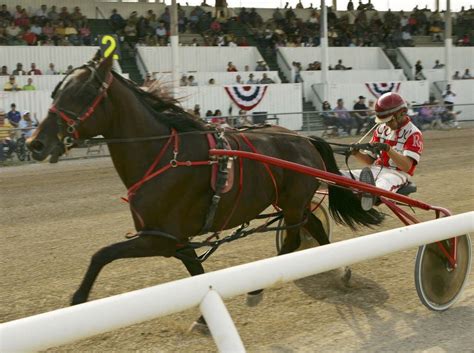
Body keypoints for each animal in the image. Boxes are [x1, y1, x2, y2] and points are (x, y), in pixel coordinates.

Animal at [26, 54, 386, 324]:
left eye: (79, 95)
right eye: (55, 92)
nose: (35, 143)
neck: (164, 157)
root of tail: (304, 138)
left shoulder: (157, 238)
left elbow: (102, 254)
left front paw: (78, 299)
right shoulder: (175, 239)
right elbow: (196, 272)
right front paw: (203, 318)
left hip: (293, 200)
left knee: (295, 238)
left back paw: (259, 288)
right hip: (290, 202)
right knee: (312, 227)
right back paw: (339, 269)